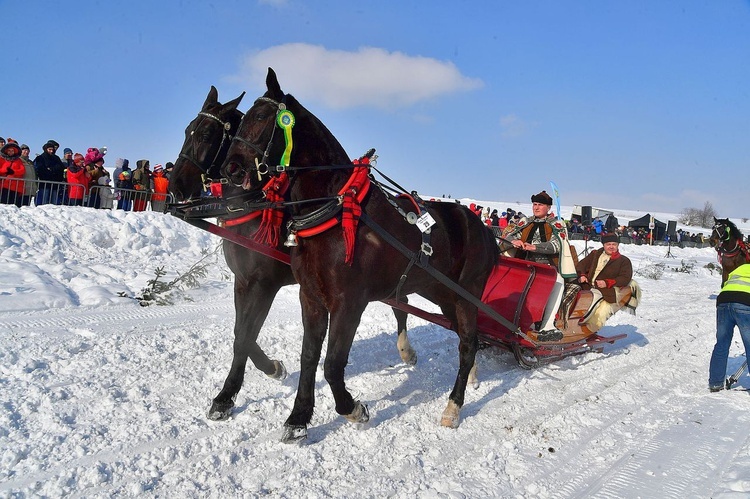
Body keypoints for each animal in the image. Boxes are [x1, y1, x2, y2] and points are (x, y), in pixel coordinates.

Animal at [223, 68, 502, 444]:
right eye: (241, 120)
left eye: (264, 119)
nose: (231, 168)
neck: (334, 211)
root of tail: (482, 226)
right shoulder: (310, 296)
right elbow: (309, 356)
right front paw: (298, 418)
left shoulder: (349, 302)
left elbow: (332, 364)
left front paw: (353, 409)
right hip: (442, 293)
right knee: (464, 337)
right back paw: (470, 377)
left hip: (467, 293)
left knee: (468, 343)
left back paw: (453, 406)